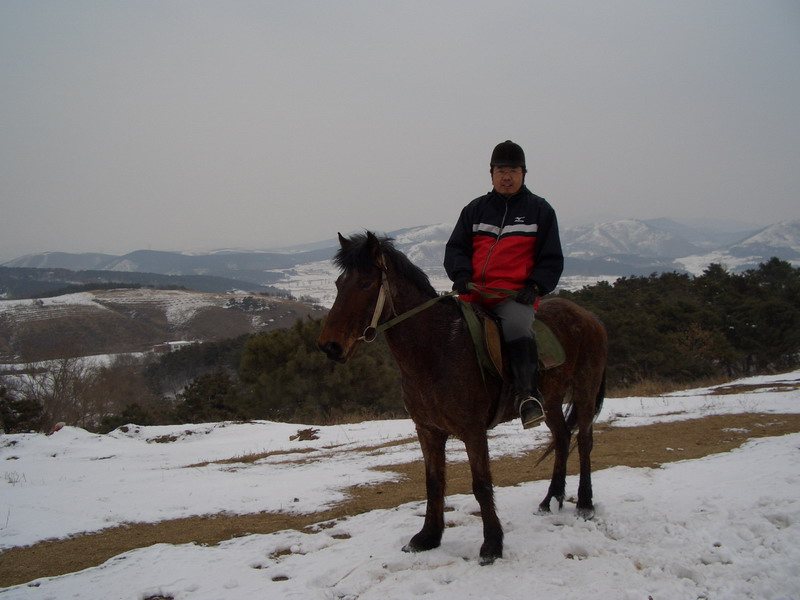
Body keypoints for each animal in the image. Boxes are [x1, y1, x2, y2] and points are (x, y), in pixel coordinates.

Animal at [318, 230, 608, 564]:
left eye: (366, 284)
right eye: (338, 284)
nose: (330, 346)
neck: (437, 348)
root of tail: (589, 317)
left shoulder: (473, 430)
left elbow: (481, 484)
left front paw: (492, 545)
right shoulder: (428, 430)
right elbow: (433, 482)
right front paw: (428, 537)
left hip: (585, 388)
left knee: (584, 439)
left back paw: (585, 503)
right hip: (550, 398)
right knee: (561, 437)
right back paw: (551, 500)